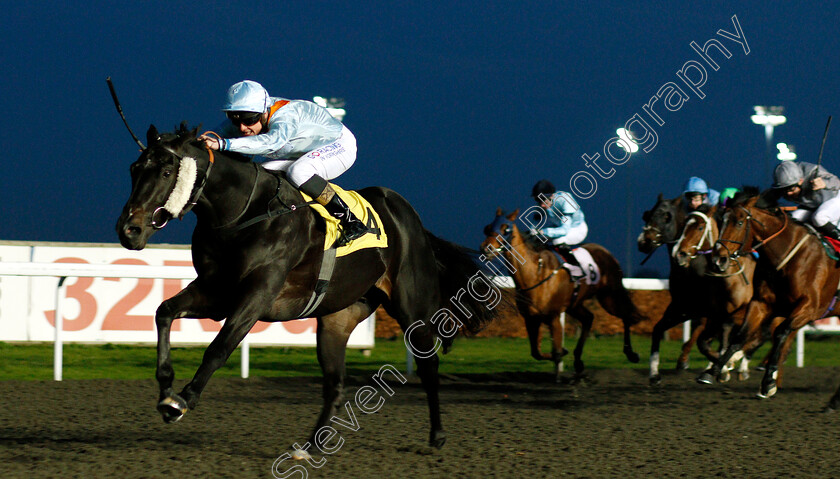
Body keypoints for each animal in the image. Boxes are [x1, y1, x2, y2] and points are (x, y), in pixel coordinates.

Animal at [115, 124, 502, 454]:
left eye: (167, 172)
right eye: (134, 168)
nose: (129, 230)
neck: (244, 213)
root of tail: (411, 219)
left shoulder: (255, 295)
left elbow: (218, 348)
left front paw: (182, 400)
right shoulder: (216, 292)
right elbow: (164, 312)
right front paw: (166, 386)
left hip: (413, 309)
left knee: (428, 366)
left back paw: (437, 436)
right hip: (337, 318)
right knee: (335, 383)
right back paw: (312, 445)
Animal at [480, 208, 644, 380]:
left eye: (506, 229)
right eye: (487, 228)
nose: (485, 249)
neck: (535, 275)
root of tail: (606, 253)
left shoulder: (553, 315)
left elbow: (556, 351)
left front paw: (559, 375)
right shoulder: (531, 318)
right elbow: (537, 352)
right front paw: (563, 354)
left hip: (610, 297)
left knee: (626, 315)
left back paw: (631, 354)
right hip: (575, 304)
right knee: (588, 318)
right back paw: (578, 361)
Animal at [708, 189, 840, 404]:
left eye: (739, 222)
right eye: (721, 221)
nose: (718, 259)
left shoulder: (809, 307)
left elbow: (780, 333)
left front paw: (768, 382)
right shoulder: (761, 303)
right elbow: (741, 335)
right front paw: (713, 371)